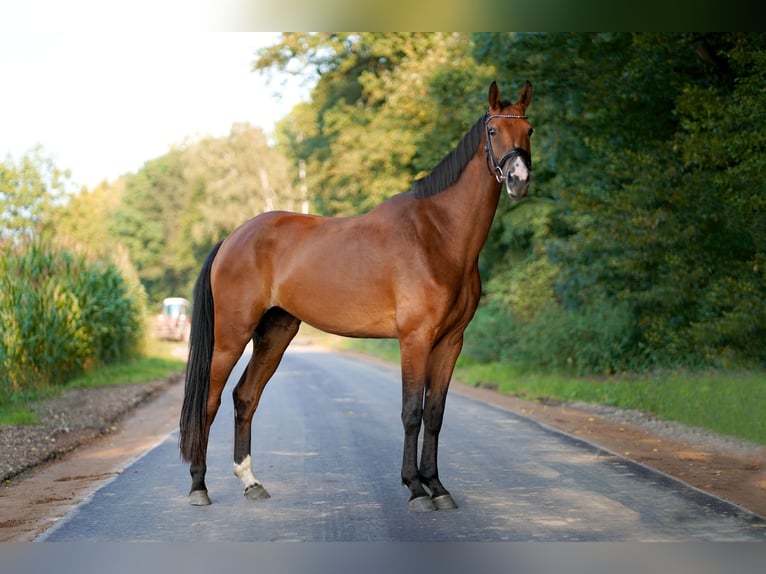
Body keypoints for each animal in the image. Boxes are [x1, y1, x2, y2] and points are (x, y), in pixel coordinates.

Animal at [179, 80, 534, 512]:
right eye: (493, 131)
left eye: (529, 130)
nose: (519, 178)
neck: (436, 234)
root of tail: (232, 238)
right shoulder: (415, 339)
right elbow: (412, 412)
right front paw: (416, 489)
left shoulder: (451, 341)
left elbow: (435, 414)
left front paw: (437, 486)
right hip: (231, 337)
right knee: (208, 403)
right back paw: (199, 487)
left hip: (276, 332)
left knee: (245, 396)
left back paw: (251, 482)